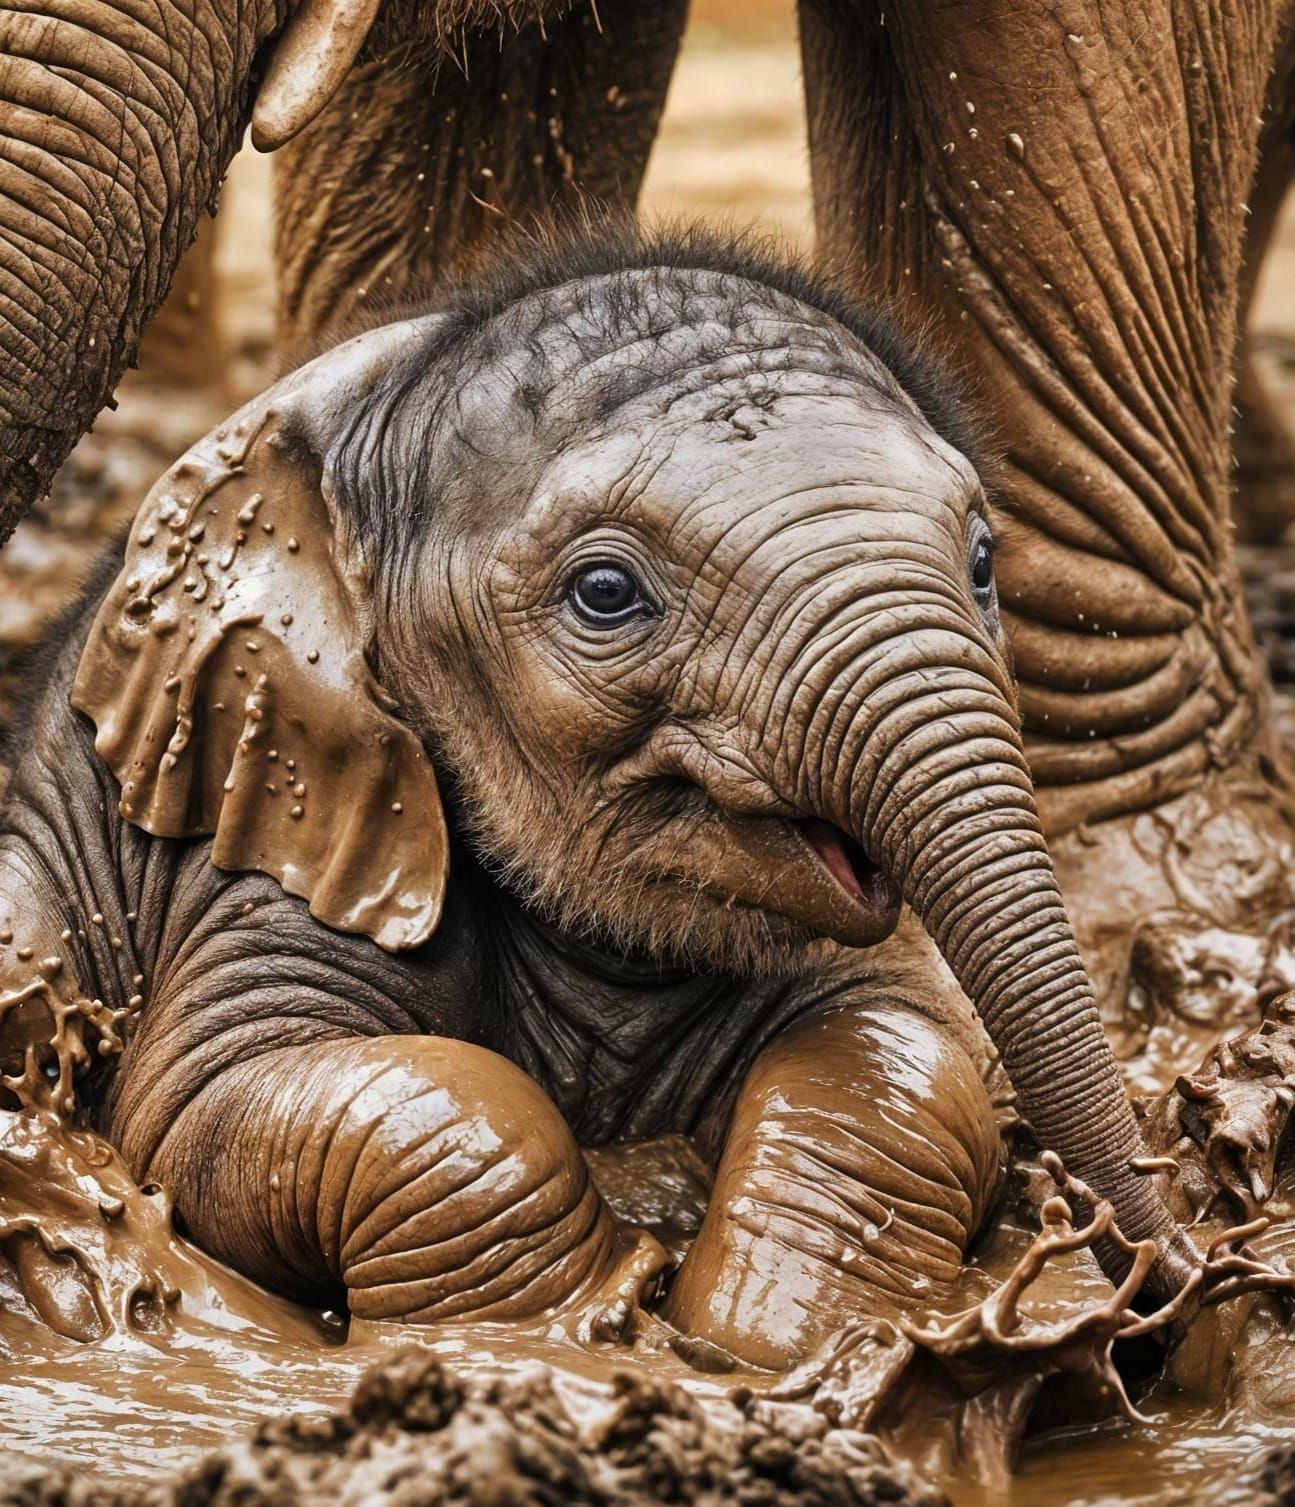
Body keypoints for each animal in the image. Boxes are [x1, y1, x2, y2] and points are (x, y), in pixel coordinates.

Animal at [0, 225, 1202, 1364]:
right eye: (607, 593)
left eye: (984, 561)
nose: (1170, 1277)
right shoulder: (283, 819)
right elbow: (221, 1101)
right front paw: (580, 1341)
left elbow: (898, 1052)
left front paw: (783, 1348)